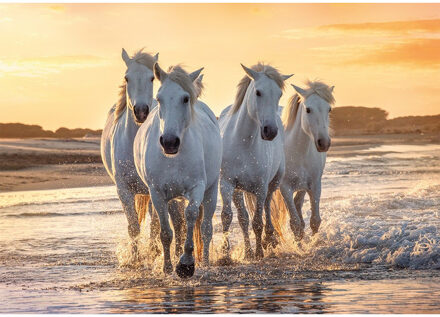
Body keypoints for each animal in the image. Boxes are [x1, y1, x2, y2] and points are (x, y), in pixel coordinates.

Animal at [133, 62, 223, 276]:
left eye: (185, 98)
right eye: (159, 98)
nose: (169, 142)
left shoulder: (197, 188)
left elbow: (191, 215)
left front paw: (186, 264)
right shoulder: (157, 193)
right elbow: (166, 232)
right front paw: (167, 267)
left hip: (211, 191)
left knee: (206, 229)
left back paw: (205, 262)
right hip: (173, 197)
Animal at [217, 63, 292, 258]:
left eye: (279, 94)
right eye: (258, 92)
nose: (270, 131)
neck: (244, 142)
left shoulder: (260, 187)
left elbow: (258, 220)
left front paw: (259, 251)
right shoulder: (227, 183)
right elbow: (228, 216)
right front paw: (225, 255)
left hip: (273, 183)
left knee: (266, 207)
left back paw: (269, 239)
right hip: (238, 190)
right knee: (243, 217)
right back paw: (248, 251)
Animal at [274, 81, 336, 239]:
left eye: (329, 109)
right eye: (308, 109)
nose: (324, 143)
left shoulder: (315, 185)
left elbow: (314, 221)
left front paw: (314, 242)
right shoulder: (285, 188)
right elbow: (295, 224)